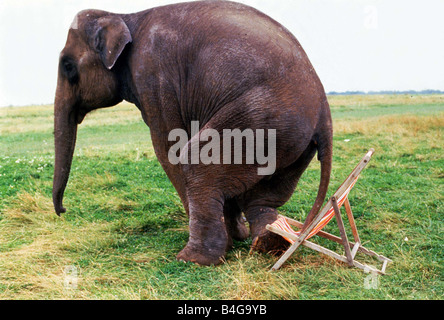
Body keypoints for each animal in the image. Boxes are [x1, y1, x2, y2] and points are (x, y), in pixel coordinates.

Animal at [52, 0, 332, 264]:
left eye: (68, 66)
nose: (63, 210)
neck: (123, 16)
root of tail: (324, 115)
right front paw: (236, 235)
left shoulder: (153, 75)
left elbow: (168, 147)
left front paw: (228, 238)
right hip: (292, 141)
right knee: (266, 194)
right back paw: (267, 242)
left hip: (261, 118)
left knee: (196, 161)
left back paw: (193, 259)